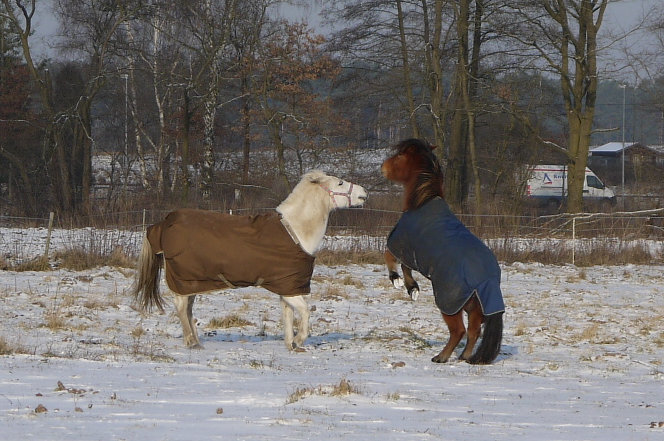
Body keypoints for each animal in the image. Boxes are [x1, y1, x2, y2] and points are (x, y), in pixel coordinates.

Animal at [130, 170, 368, 348]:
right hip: (184, 280)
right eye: (339, 182)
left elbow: (288, 316)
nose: (364, 193)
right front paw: (300, 340)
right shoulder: (290, 289)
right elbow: (305, 313)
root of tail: (165, 223)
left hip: (193, 282)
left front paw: (290, 344)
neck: (295, 231)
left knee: (187, 310)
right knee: (181, 308)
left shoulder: (287, 286)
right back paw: (192, 342)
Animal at [382, 140, 506, 364]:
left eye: (400, 156)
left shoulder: (403, 245)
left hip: (449, 303)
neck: (422, 202)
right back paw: (465, 356)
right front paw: (412, 288)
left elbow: (390, 257)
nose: (383, 167)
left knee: (459, 331)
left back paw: (441, 357)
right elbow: (405, 267)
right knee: (474, 331)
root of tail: (488, 280)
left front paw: (397, 280)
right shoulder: (414, 255)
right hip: (473, 307)